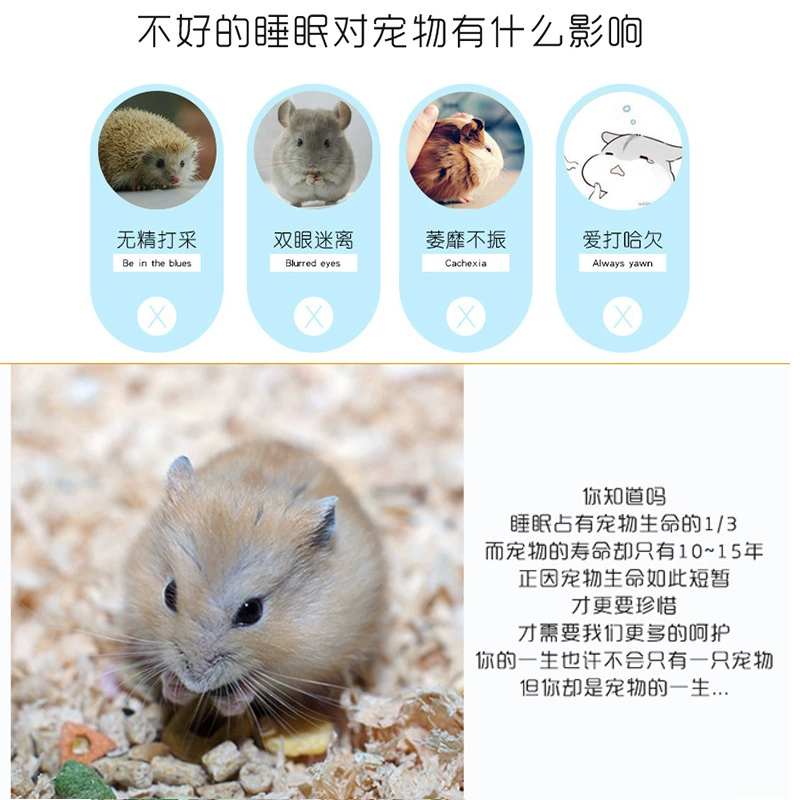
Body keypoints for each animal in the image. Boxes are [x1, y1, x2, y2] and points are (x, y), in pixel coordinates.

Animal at [122, 441, 386, 719]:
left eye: (251, 611)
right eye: (169, 594)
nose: (195, 681)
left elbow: (255, 685)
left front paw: (225, 704)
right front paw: (176, 688)